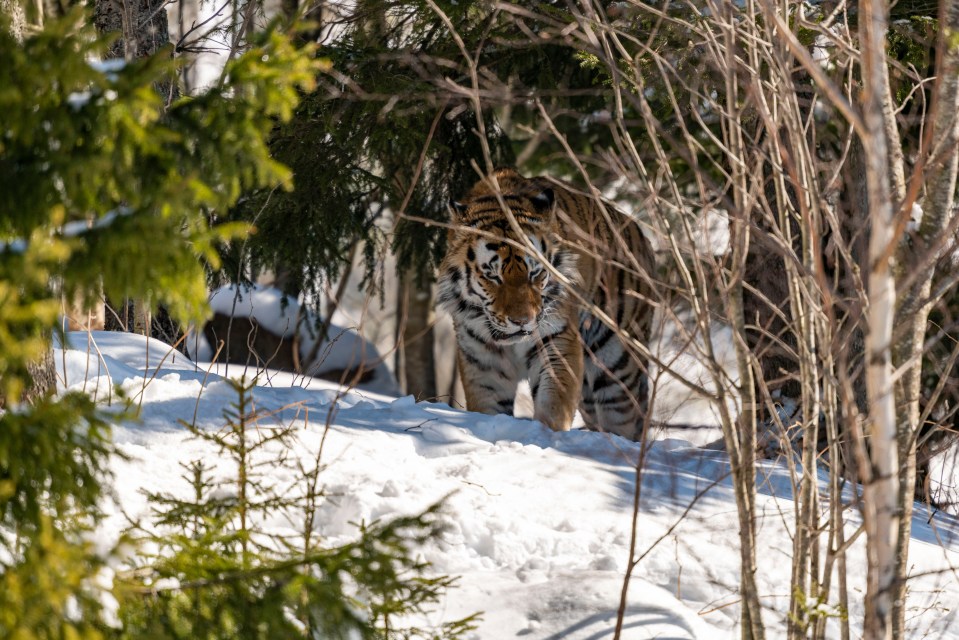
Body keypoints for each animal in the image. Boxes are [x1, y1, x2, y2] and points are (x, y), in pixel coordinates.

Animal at [436, 168, 656, 442]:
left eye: (535, 273)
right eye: (493, 276)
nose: (522, 321)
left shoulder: (556, 340)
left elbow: (553, 399)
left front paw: (547, 436)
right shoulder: (483, 361)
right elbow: (487, 406)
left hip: (617, 372)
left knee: (625, 420)